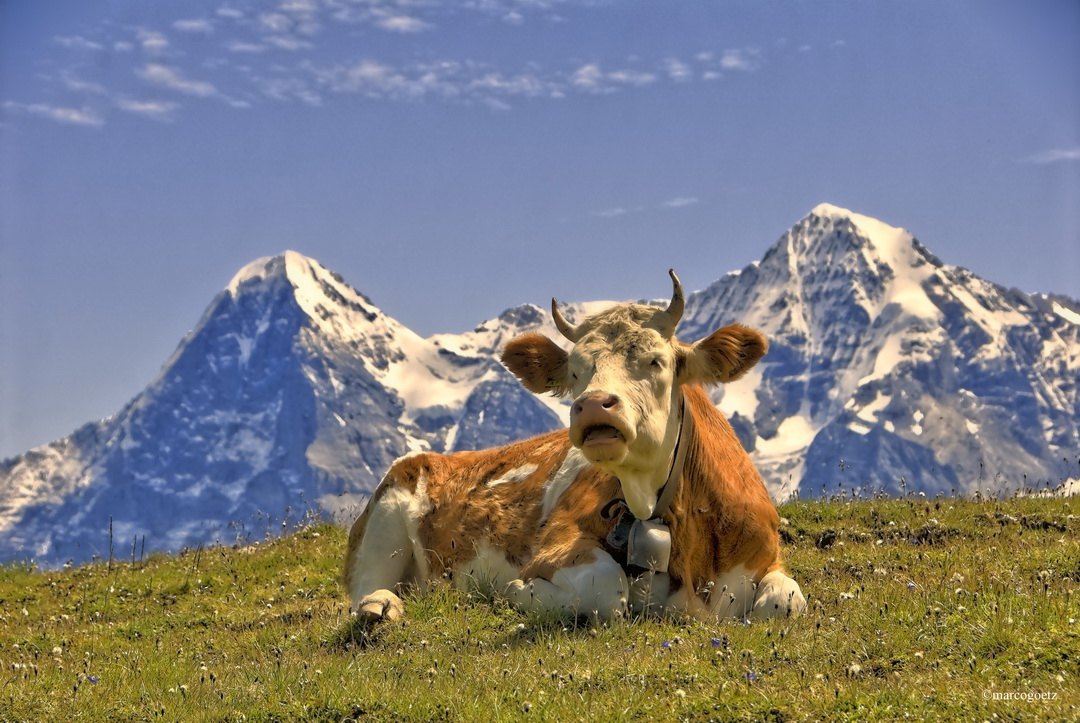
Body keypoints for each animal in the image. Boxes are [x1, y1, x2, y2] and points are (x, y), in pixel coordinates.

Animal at [341, 270, 807, 622]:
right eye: (578, 371)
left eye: (656, 361)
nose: (592, 405)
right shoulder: (556, 548)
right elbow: (609, 589)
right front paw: (517, 592)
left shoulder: (765, 558)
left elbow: (786, 602)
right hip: (383, 523)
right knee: (368, 587)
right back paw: (379, 608)